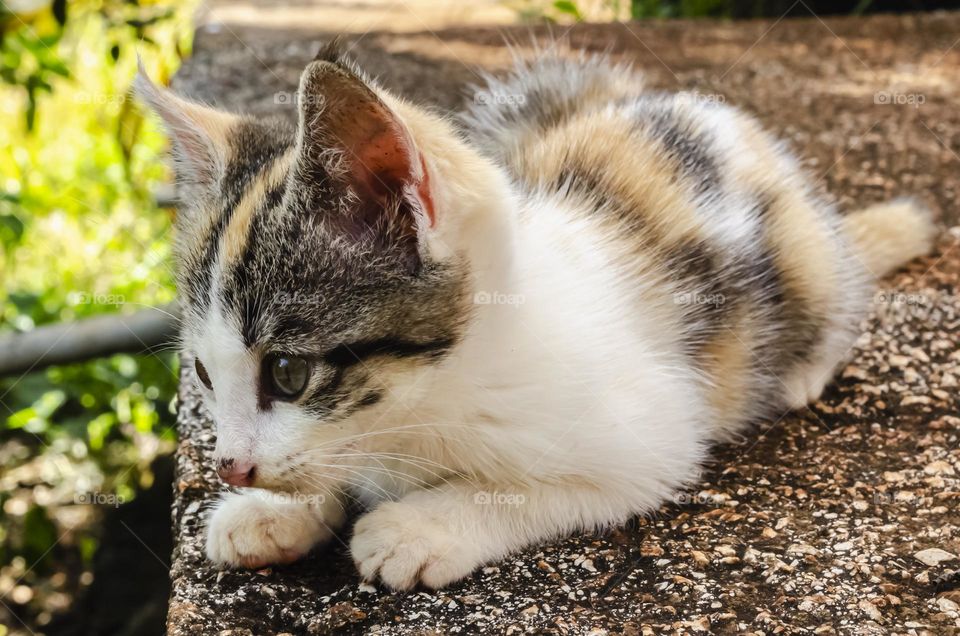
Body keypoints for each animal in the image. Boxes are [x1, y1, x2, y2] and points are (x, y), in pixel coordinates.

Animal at [133, 44, 928, 592]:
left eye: (288, 373)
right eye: (203, 373)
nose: (230, 466)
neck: (427, 401)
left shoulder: (657, 434)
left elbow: (535, 486)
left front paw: (422, 524)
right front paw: (273, 510)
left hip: (806, 265)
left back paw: (801, 372)